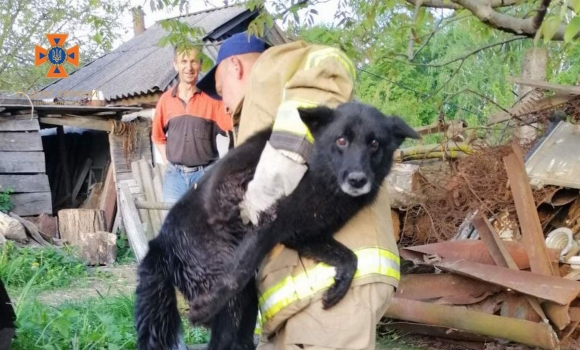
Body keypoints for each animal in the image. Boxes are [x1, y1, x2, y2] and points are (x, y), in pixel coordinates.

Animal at [134, 101, 420, 350]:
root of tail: (159, 244)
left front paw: (338, 287)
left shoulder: (302, 234)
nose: (358, 180)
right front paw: (206, 305)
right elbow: (237, 271)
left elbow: (350, 258)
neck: (322, 178)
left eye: (375, 144)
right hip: (233, 295)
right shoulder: (265, 223)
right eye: (341, 140)